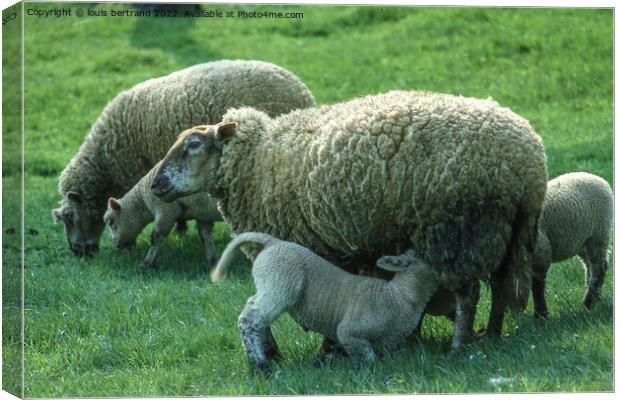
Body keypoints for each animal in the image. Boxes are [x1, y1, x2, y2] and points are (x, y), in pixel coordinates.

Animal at [151, 90, 548, 350]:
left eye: (193, 145)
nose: (155, 184)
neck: (257, 162)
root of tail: (526, 161)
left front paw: (329, 349)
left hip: (456, 230)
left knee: (468, 292)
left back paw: (459, 346)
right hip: (506, 232)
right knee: (500, 285)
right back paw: (492, 334)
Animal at [211, 233, 438, 370]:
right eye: (425, 255)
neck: (397, 297)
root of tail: (273, 242)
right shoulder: (350, 332)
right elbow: (366, 356)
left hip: (269, 283)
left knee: (254, 307)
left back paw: (267, 354)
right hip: (280, 283)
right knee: (250, 318)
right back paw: (259, 365)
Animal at [532, 172, 612, 318]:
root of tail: (594, 176)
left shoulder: (540, 251)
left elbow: (537, 286)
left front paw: (541, 315)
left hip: (598, 235)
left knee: (599, 268)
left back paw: (588, 303)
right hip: (583, 242)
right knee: (589, 266)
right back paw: (594, 297)